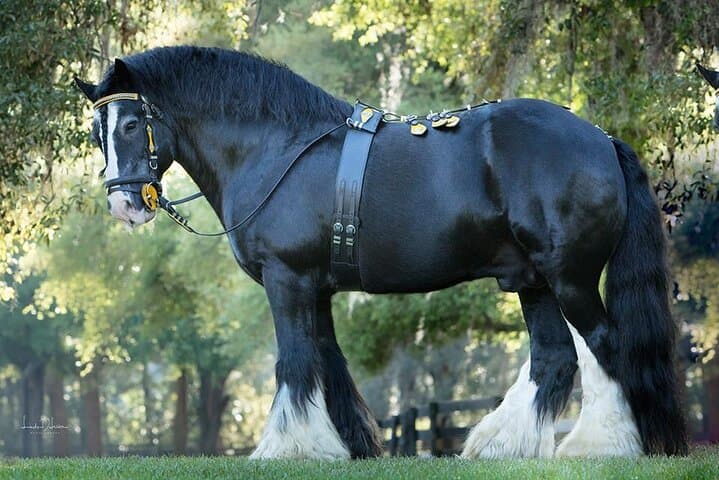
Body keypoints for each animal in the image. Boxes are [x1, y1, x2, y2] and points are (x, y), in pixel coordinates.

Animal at [75, 46, 687, 459]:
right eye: (96, 132)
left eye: (131, 123)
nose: (124, 205)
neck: (277, 148)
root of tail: (600, 138)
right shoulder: (315, 287)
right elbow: (327, 365)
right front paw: (347, 447)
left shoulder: (286, 279)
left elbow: (293, 362)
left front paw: (285, 450)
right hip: (530, 279)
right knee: (554, 355)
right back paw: (501, 445)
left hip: (570, 276)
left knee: (602, 344)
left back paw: (599, 446)